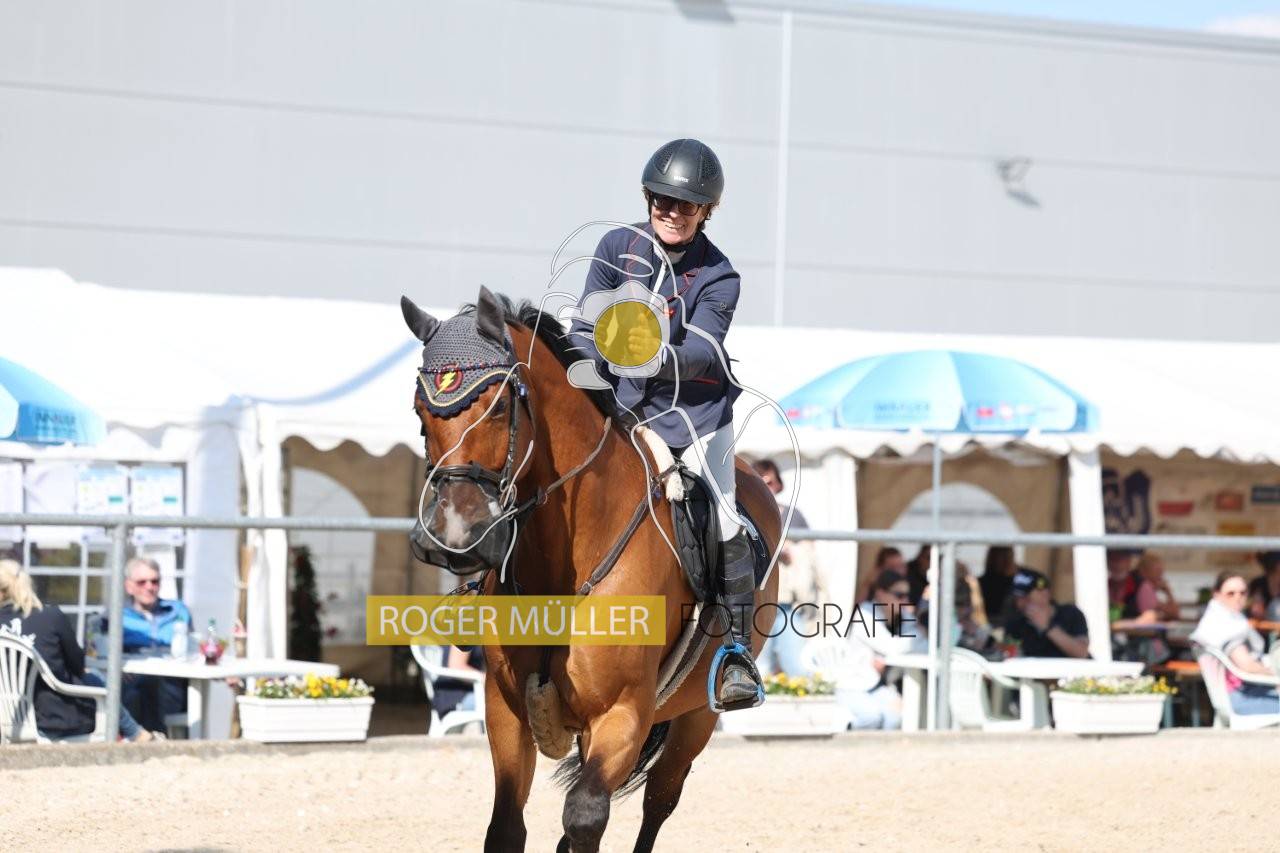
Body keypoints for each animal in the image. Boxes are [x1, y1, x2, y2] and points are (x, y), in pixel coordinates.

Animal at [401, 286, 781, 852]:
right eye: (420, 410)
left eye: (499, 406)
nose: (452, 536)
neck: (562, 561)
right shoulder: (505, 707)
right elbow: (507, 826)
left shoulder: (623, 713)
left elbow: (584, 814)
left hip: (693, 719)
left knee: (658, 801)